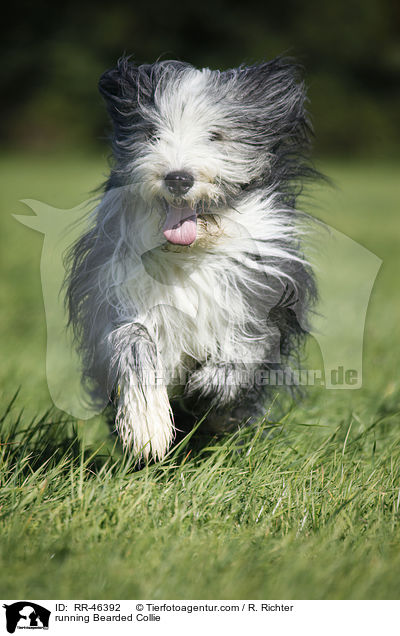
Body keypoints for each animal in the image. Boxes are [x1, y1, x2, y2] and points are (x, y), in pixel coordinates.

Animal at [65, 56, 318, 462]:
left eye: (215, 135)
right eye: (152, 134)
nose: (178, 178)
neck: (190, 255)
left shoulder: (264, 287)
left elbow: (250, 341)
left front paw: (213, 390)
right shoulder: (116, 293)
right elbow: (131, 339)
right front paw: (147, 427)